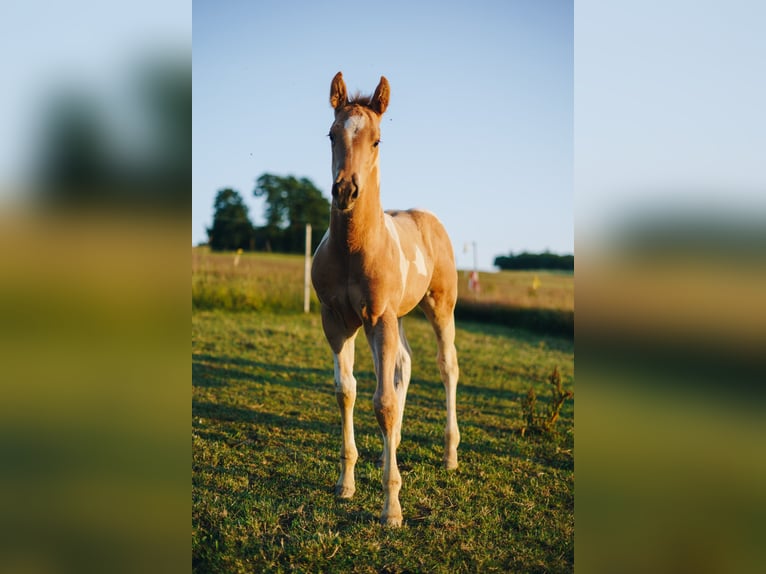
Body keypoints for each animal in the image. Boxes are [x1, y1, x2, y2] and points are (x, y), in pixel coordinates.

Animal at [312, 71, 462, 528]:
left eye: (377, 140)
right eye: (331, 135)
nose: (345, 190)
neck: (354, 248)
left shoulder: (379, 319)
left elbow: (383, 403)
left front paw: (391, 507)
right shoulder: (337, 321)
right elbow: (347, 391)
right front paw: (346, 484)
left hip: (438, 307)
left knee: (447, 367)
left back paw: (450, 454)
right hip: (400, 315)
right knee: (404, 365)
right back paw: (390, 447)